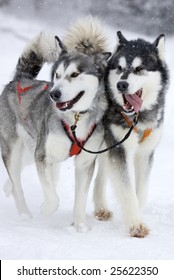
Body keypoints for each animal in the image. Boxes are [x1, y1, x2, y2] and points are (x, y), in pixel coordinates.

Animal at [0, 17, 111, 230]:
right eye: (57, 75)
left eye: (75, 74)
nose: (54, 94)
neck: (75, 119)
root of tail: (20, 79)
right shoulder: (42, 155)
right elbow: (52, 195)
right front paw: (47, 208)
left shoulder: (85, 162)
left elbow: (80, 197)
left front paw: (80, 226)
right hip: (15, 149)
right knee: (17, 182)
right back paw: (24, 213)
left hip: (32, 149)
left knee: (21, 176)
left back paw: (8, 189)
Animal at [94, 31, 169, 237]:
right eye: (119, 68)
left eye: (139, 68)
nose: (122, 84)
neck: (137, 118)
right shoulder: (120, 149)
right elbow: (127, 190)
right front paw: (136, 224)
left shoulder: (145, 153)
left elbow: (140, 192)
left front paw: (135, 212)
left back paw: (100, 207)